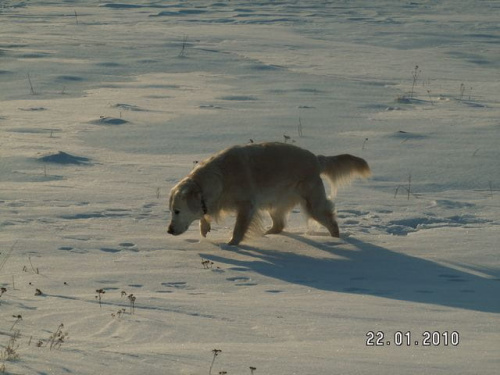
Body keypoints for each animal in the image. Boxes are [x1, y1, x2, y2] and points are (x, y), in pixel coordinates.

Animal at [168, 142, 372, 245]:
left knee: (331, 221)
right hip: (276, 203)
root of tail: (316, 158)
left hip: (313, 203)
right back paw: (269, 234)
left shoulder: (247, 205)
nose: (169, 231)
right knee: (279, 225)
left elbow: (238, 229)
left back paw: (337, 241)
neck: (219, 177)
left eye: (177, 211)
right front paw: (204, 228)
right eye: (171, 211)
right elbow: (204, 214)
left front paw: (232, 245)